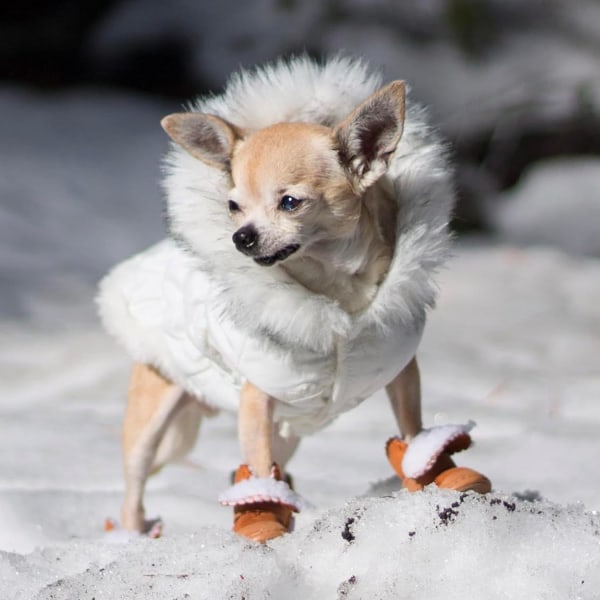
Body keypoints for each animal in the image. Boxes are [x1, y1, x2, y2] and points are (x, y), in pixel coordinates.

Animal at [99, 57, 492, 544]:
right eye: (232, 206)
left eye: (290, 202)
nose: (241, 237)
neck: (336, 294)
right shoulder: (258, 395)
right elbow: (257, 462)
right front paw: (261, 516)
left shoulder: (402, 373)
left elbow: (413, 428)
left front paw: (433, 473)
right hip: (155, 416)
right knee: (139, 481)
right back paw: (135, 532)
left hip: (284, 429)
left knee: (269, 463)